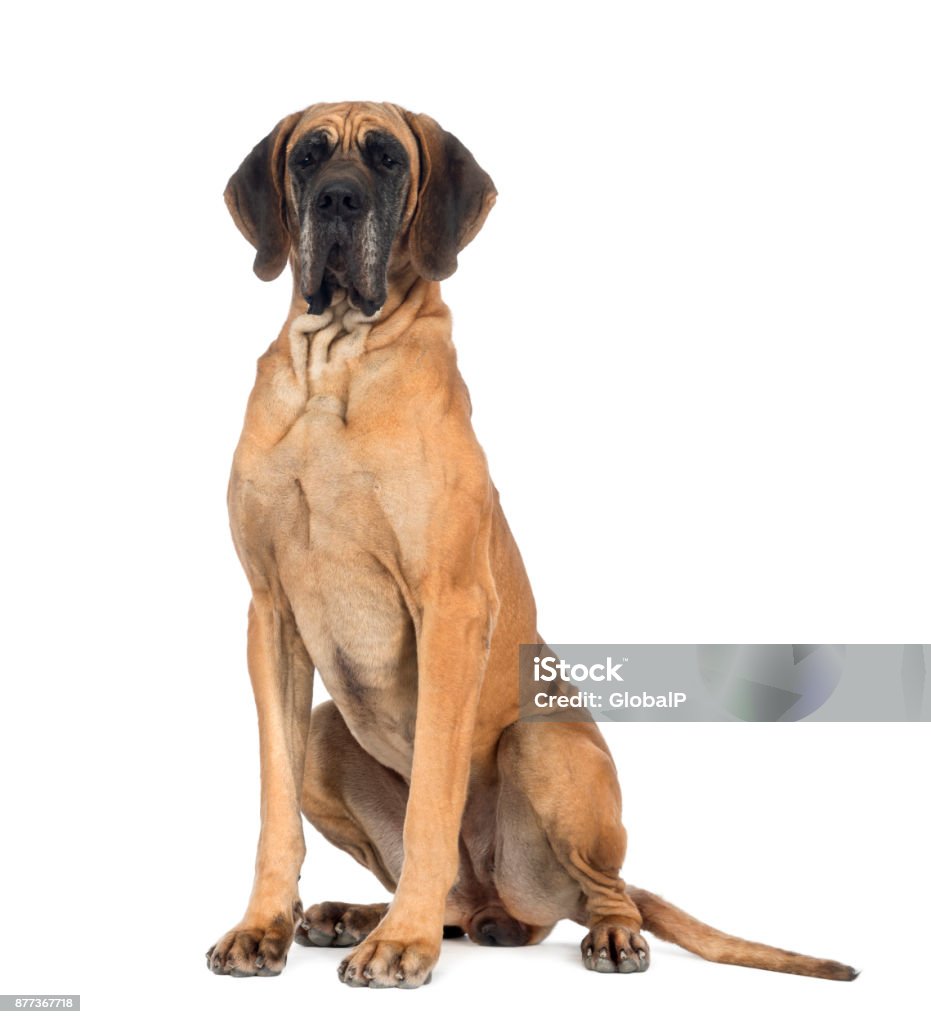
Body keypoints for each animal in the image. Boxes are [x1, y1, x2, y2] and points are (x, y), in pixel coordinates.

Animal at [204, 101, 856, 983]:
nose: (338, 200)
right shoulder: (269, 615)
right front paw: (263, 925)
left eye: (384, 160)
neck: (334, 368)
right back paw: (359, 914)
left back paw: (593, 934)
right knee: (459, 893)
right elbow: (275, 805)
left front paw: (401, 944)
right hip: (328, 736)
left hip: (542, 746)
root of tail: (499, 896)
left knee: (598, 890)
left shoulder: (450, 608)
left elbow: (431, 799)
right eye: (308, 158)